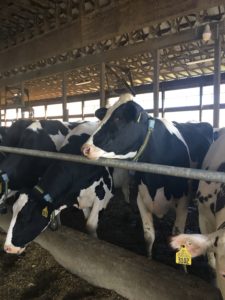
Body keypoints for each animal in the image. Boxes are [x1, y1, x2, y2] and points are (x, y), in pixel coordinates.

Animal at [81, 92, 214, 256]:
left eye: (118, 118)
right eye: (104, 116)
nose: (85, 148)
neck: (155, 183)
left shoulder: (184, 200)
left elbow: (177, 236)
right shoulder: (141, 197)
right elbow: (149, 236)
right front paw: (149, 257)